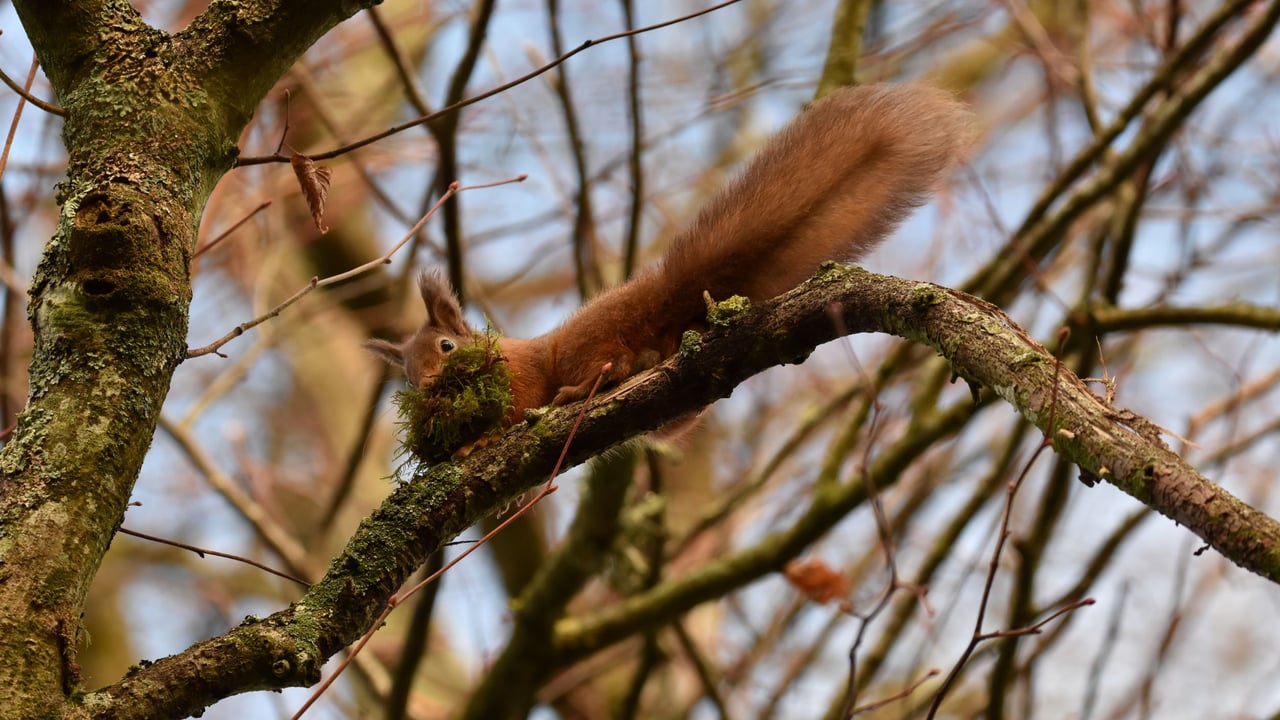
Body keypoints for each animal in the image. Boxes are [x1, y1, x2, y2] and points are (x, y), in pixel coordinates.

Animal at [367, 83, 973, 423]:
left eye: (446, 347)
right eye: (407, 377)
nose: (426, 389)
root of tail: (659, 300)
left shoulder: (516, 378)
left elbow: (509, 408)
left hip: (589, 344)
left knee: (608, 363)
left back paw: (583, 386)